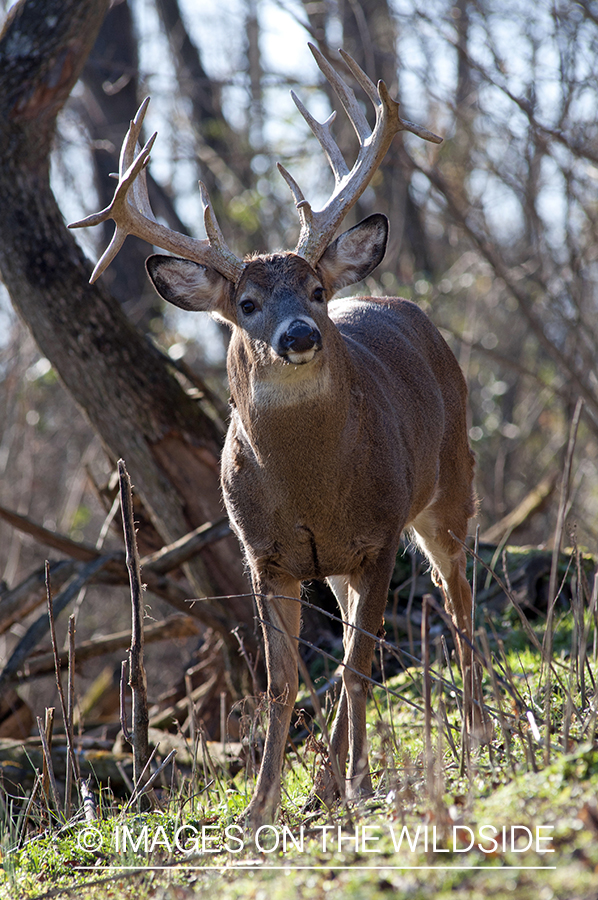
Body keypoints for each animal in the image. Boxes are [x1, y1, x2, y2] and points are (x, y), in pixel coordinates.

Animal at [71, 45, 492, 828]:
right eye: (246, 303)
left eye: (317, 291)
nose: (299, 335)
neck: (310, 487)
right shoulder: (263, 554)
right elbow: (282, 684)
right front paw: (263, 805)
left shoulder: (381, 532)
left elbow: (357, 668)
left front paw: (347, 788)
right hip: (343, 562)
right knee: (365, 629)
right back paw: (340, 776)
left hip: (450, 486)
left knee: (458, 606)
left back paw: (475, 736)